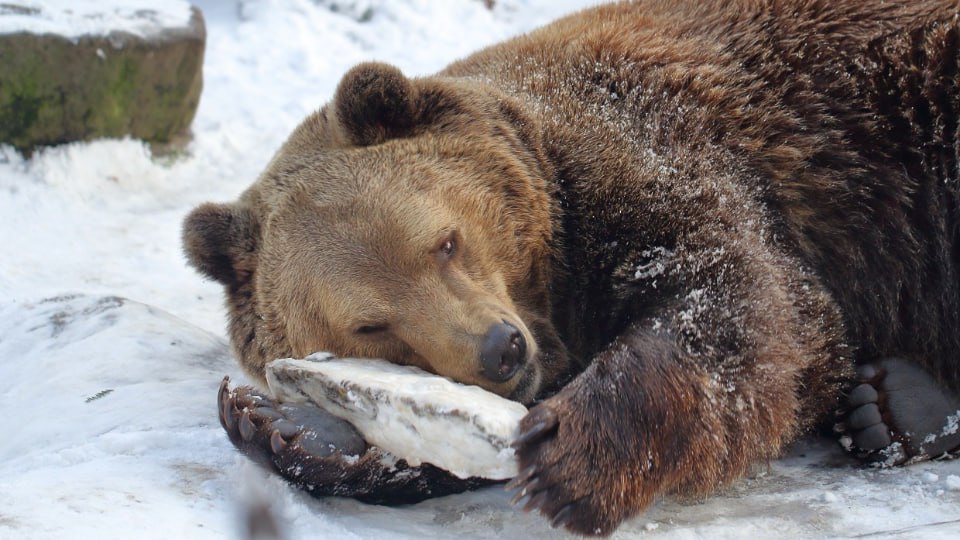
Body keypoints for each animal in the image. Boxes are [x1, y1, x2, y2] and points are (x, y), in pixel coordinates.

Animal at [182, 1, 960, 536]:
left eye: (445, 241)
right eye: (371, 324)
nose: (498, 349)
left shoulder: (655, 153)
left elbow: (750, 305)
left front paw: (573, 453)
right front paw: (290, 428)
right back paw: (892, 406)